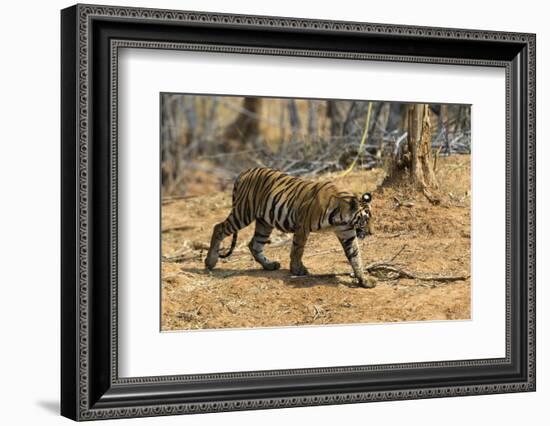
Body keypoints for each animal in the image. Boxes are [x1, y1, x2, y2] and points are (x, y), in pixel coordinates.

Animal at [207, 166, 380, 286]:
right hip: (243, 213)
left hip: (264, 222)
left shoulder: (347, 233)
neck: (342, 218)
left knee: (254, 244)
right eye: (365, 220)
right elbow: (297, 250)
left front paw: (365, 280)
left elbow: (355, 256)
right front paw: (297, 270)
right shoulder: (302, 227)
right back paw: (210, 262)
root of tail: (245, 171)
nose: (372, 233)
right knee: (218, 228)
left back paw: (269, 265)